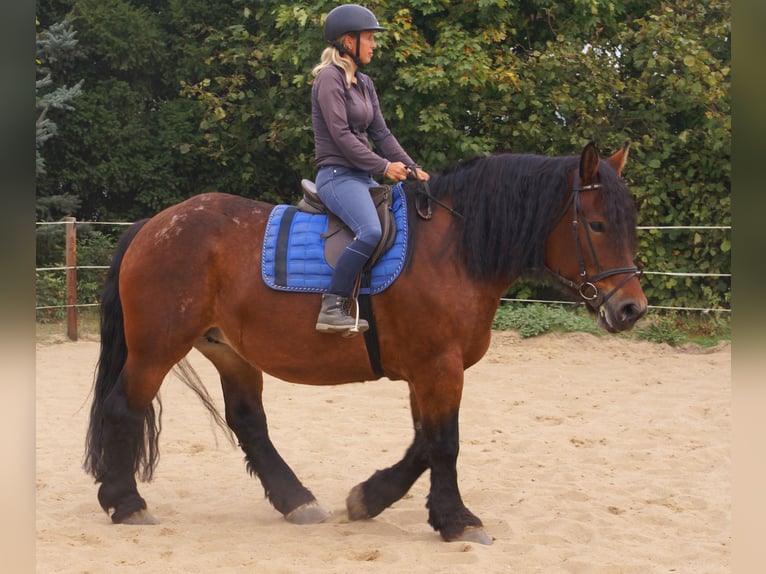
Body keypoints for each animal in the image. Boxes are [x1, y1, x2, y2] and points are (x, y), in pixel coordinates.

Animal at [83, 141, 647, 545]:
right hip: (157, 348)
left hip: (230, 351)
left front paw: (370, 499)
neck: (452, 251)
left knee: (248, 423)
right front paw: (457, 520)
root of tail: (154, 225)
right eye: (597, 224)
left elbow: (424, 442)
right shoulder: (439, 367)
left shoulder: (429, 371)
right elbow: (444, 442)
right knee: (123, 408)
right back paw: (125, 502)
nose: (631, 309)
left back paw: (296, 500)